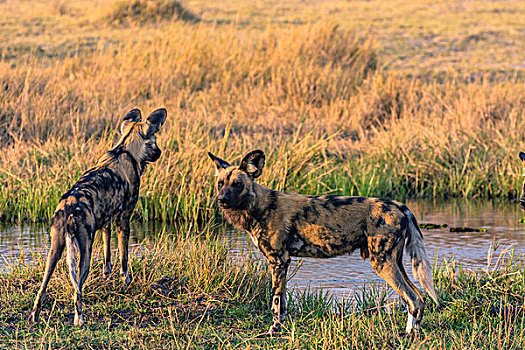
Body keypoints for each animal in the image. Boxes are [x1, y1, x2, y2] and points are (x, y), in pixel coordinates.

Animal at [28, 108, 166, 326]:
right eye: (155, 141)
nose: (160, 152)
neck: (125, 150)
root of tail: (69, 207)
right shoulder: (123, 219)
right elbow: (124, 258)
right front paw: (126, 281)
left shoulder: (107, 221)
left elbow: (108, 253)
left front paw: (106, 274)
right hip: (85, 252)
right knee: (77, 289)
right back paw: (79, 319)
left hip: (55, 250)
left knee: (42, 286)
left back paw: (35, 316)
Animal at [208, 150, 438, 336]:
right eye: (220, 184)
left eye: (237, 184)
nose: (221, 200)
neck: (259, 207)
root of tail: (398, 205)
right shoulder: (283, 263)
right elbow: (282, 304)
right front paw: (279, 328)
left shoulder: (279, 261)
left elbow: (275, 302)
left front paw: (273, 331)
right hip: (394, 262)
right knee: (419, 298)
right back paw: (413, 333)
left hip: (382, 263)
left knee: (413, 299)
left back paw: (407, 335)